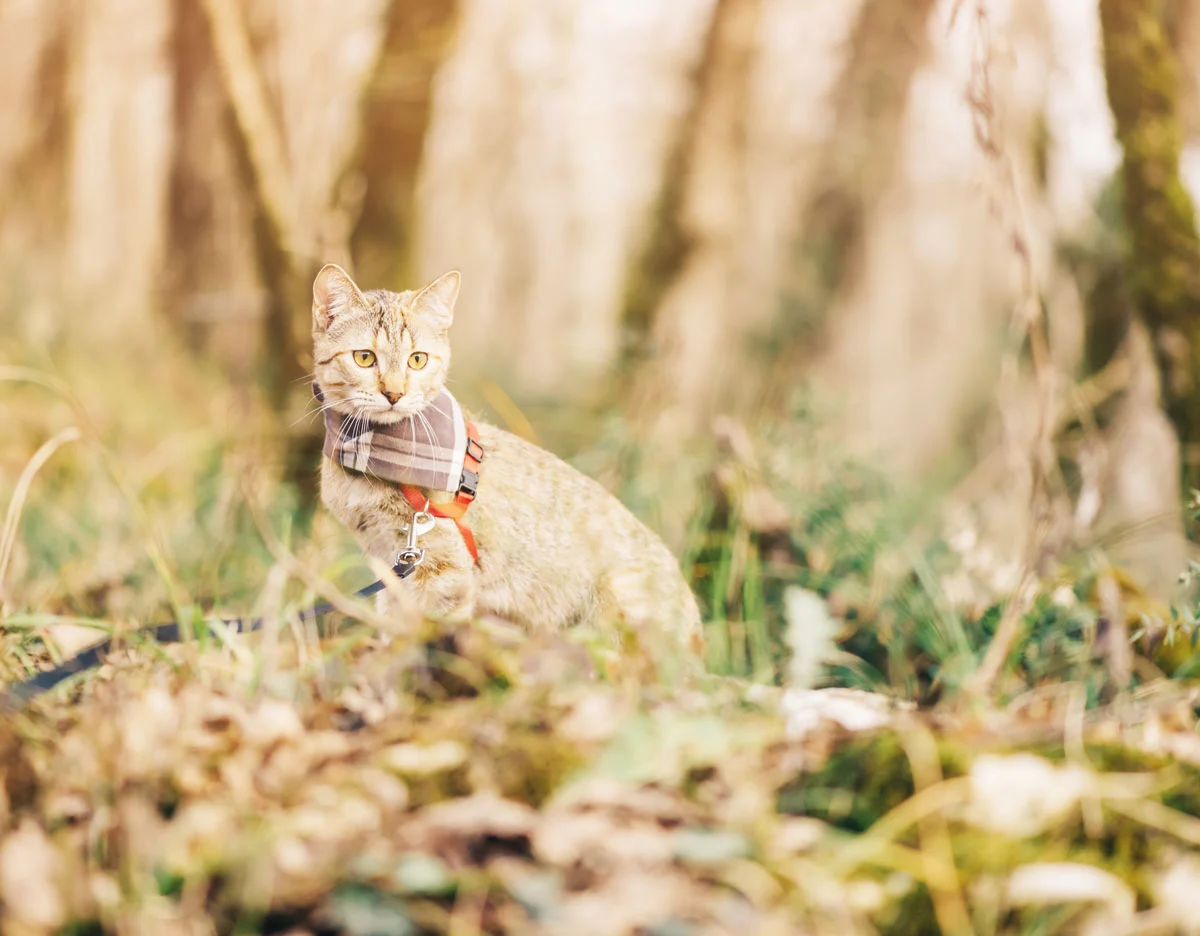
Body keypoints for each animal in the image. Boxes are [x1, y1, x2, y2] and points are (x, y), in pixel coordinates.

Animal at [312, 261, 700, 657]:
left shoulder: (441, 572)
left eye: (417, 360)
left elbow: (430, 639)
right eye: (364, 357)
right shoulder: (391, 565)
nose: (394, 393)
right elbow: (396, 626)